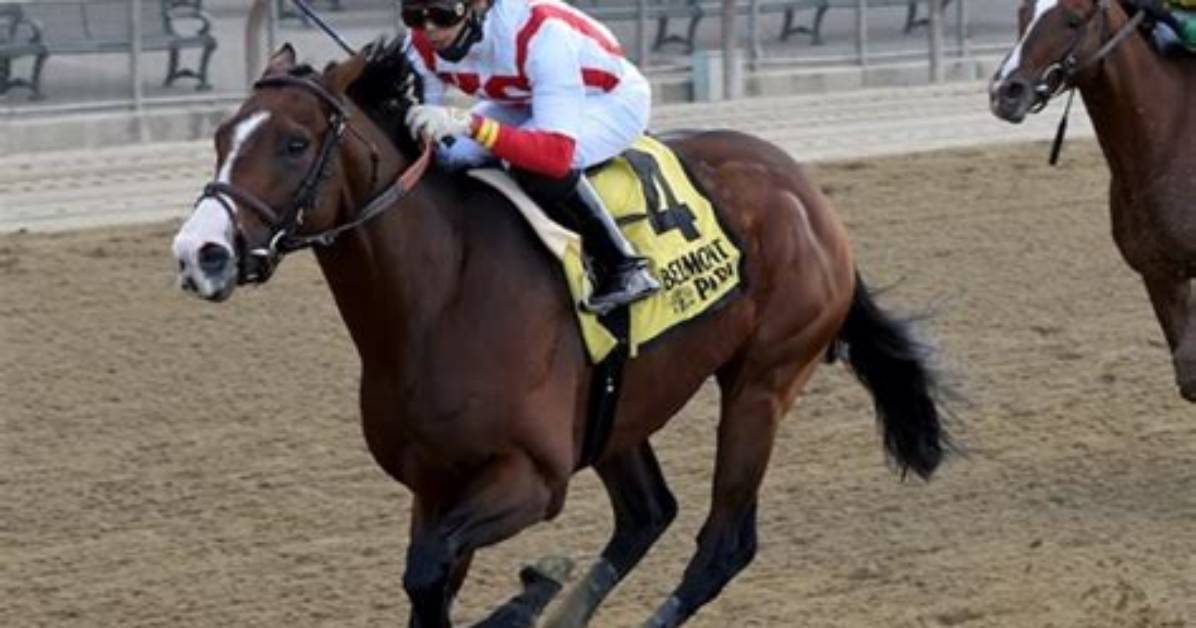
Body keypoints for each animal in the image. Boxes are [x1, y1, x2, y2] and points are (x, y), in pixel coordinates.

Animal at [170, 43, 950, 627]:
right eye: (221, 137)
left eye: (295, 142)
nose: (199, 253)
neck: (439, 298)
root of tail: (808, 192)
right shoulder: (434, 483)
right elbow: (427, 581)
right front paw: (532, 594)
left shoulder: (532, 477)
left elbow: (429, 573)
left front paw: (532, 591)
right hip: (619, 408)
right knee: (647, 514)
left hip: (763, 384)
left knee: (723, 544)